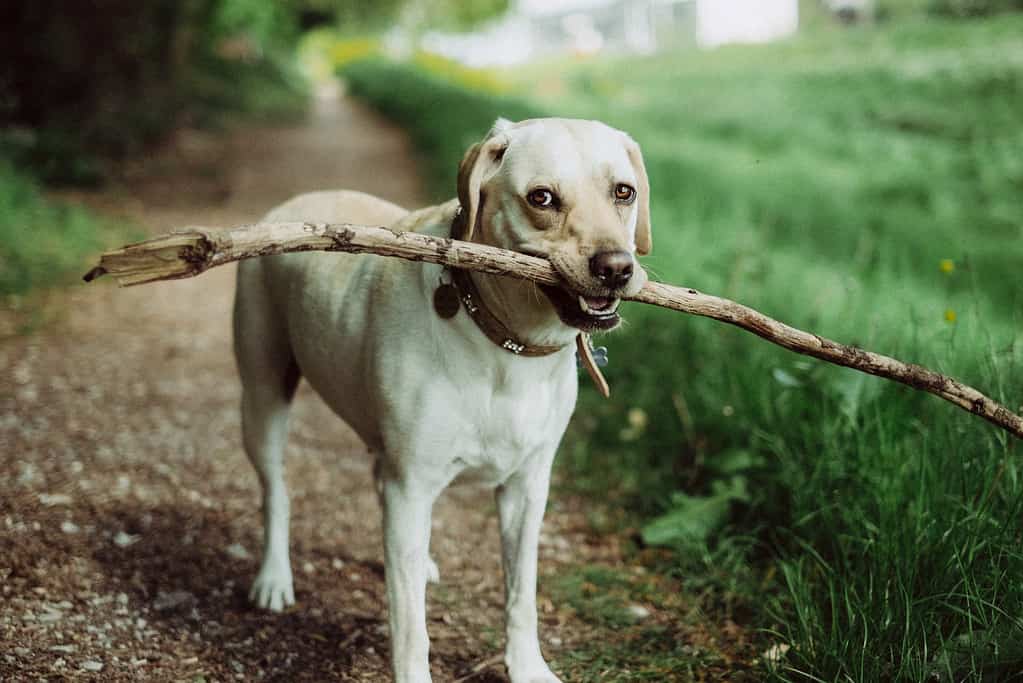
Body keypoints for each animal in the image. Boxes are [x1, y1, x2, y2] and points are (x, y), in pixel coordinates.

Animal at [234, 118, 646, 683]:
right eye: (541, 198)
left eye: (623, 192)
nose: (616, 268)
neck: (505, 344)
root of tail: (290, 204)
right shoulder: (412, 485)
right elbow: (411, 628)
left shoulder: (527, 487)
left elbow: (521, 594)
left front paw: (527, 666)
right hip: (263, 396)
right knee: (276, 491)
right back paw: (274, 578)